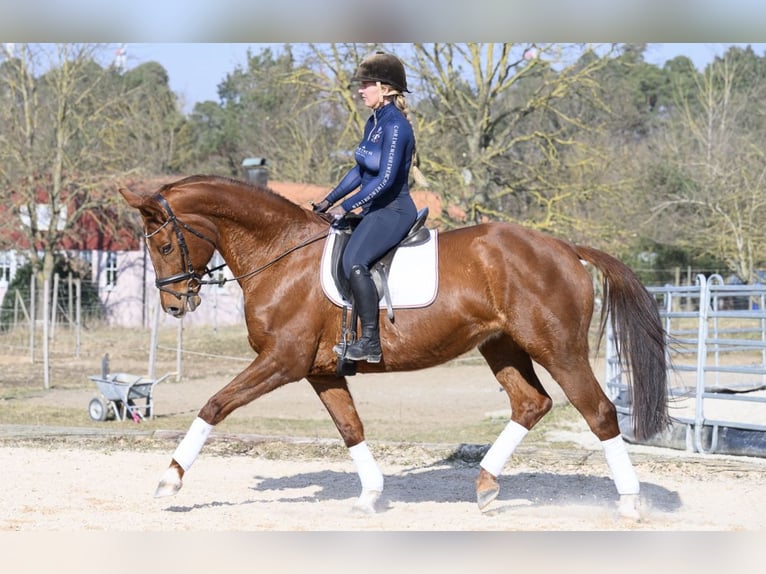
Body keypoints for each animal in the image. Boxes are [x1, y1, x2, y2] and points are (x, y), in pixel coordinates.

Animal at [120, 174, 672, 520]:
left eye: (164, 245)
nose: (174, 304)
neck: (281, 255)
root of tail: (566, 249)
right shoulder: (321, 370)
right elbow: (350, 428)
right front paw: (370, 496)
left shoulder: (282, 360)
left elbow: (215, 405)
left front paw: (170, 479)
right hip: (503, 346)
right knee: (531, 404)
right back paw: (486, 486)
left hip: (558, 348)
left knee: (598, 412)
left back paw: (628, 504)